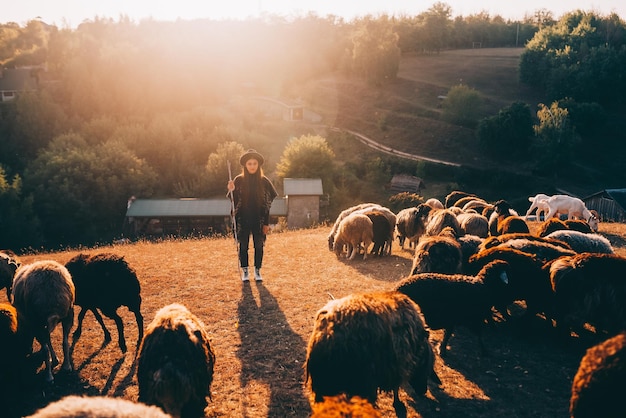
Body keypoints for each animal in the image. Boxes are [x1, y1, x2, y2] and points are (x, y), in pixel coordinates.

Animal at [304, 292, 436, 414]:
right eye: (428, 367)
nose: (423, 391)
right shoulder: (397, 366)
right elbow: (396, 387)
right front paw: (398, 404)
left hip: (327, 387)